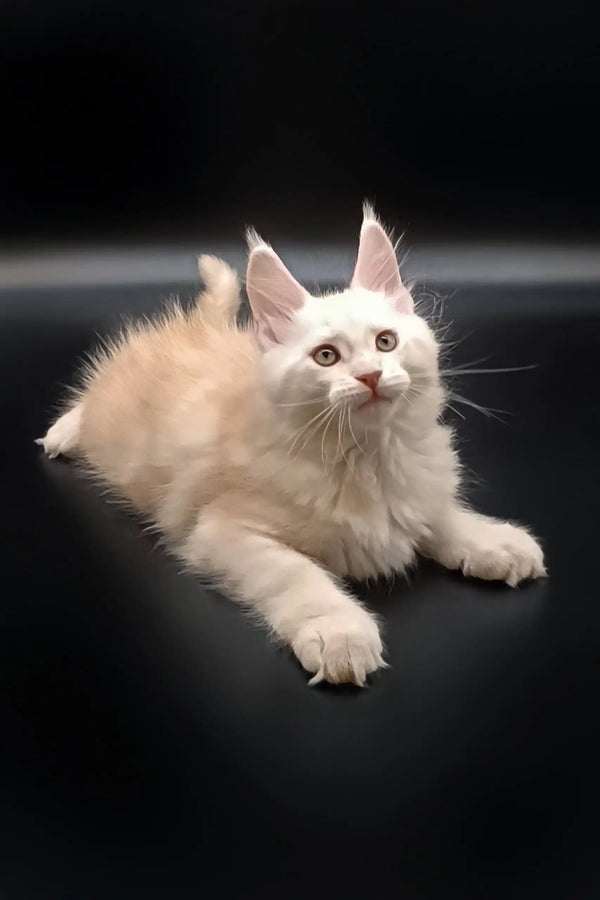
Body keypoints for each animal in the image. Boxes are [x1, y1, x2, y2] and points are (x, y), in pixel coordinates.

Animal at [36, 209, 544, 688]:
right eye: (326, 356)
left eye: (386, 342)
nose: (370, 376)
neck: (365, 457)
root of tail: (197, 329)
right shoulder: (224, 530)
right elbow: (297, 573)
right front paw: (340, 633)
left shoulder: (412, 489)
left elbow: (438, 512)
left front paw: (491, 539)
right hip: (111, 415)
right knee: (88, 402)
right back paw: (62, 432)